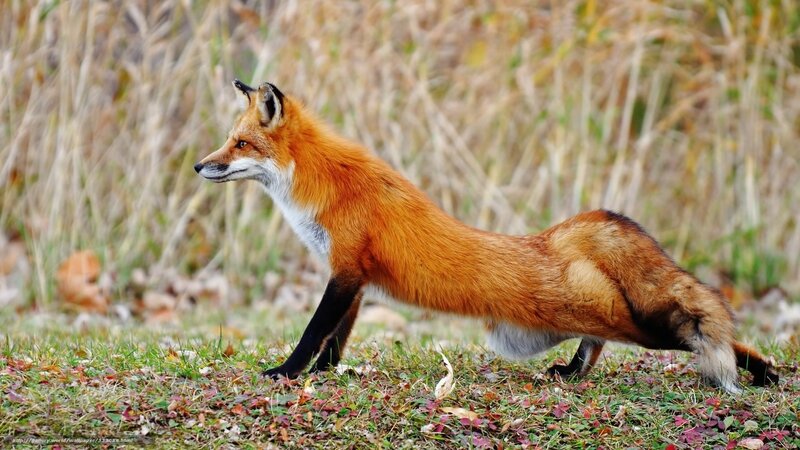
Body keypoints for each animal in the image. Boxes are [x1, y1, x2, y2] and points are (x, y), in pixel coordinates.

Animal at [194, 80, 778, 394]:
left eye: (240, 143)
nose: (200, 165)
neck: (324, 185)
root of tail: (558, 239)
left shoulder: (345, 272)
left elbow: (313, 332)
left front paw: (286, 373)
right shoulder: (354, 279)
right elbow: (335, 341)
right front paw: (329, 374)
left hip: (630, 323)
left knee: (690, 332)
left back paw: (763, 370)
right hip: (590, 317)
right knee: (602, 341)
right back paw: (573, 373)